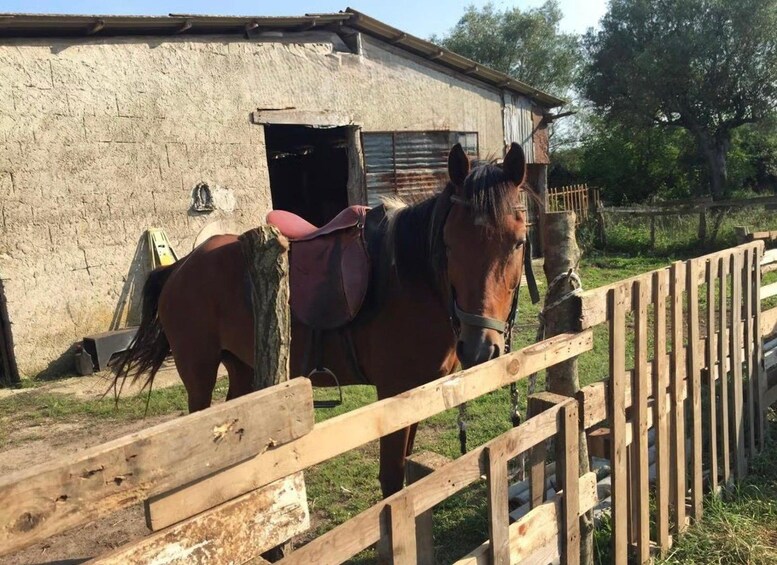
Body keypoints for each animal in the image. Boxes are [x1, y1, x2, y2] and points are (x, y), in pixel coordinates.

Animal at [111, 142, 538, 497]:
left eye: (517, 243)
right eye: (449, 245)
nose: (479, 348)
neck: (408, 279)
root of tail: (180, 266)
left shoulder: (416, 394)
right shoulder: (393, 394)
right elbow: (392, 481)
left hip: (242, 368)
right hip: (198, 372)